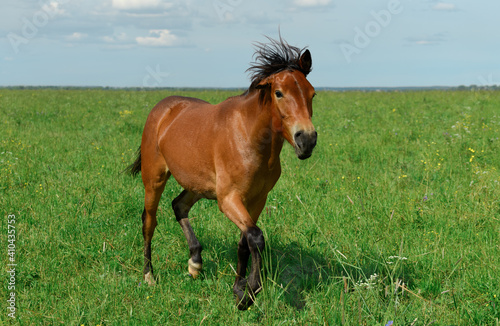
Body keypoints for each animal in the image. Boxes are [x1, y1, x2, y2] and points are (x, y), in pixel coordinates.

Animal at [127, 36, 318, 310]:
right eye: (279, 93)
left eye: (312, 93)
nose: (307, 140)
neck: (248, 137)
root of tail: (162, 108)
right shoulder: (228, 199)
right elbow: (256, 237)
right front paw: (249, 294)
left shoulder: (257, 199)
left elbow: (244, 242)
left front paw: (238, 288)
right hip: (154, 179)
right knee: (149, 222)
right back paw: (149, 276)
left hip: (198, 185)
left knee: (179, 205)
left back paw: (195, 263)